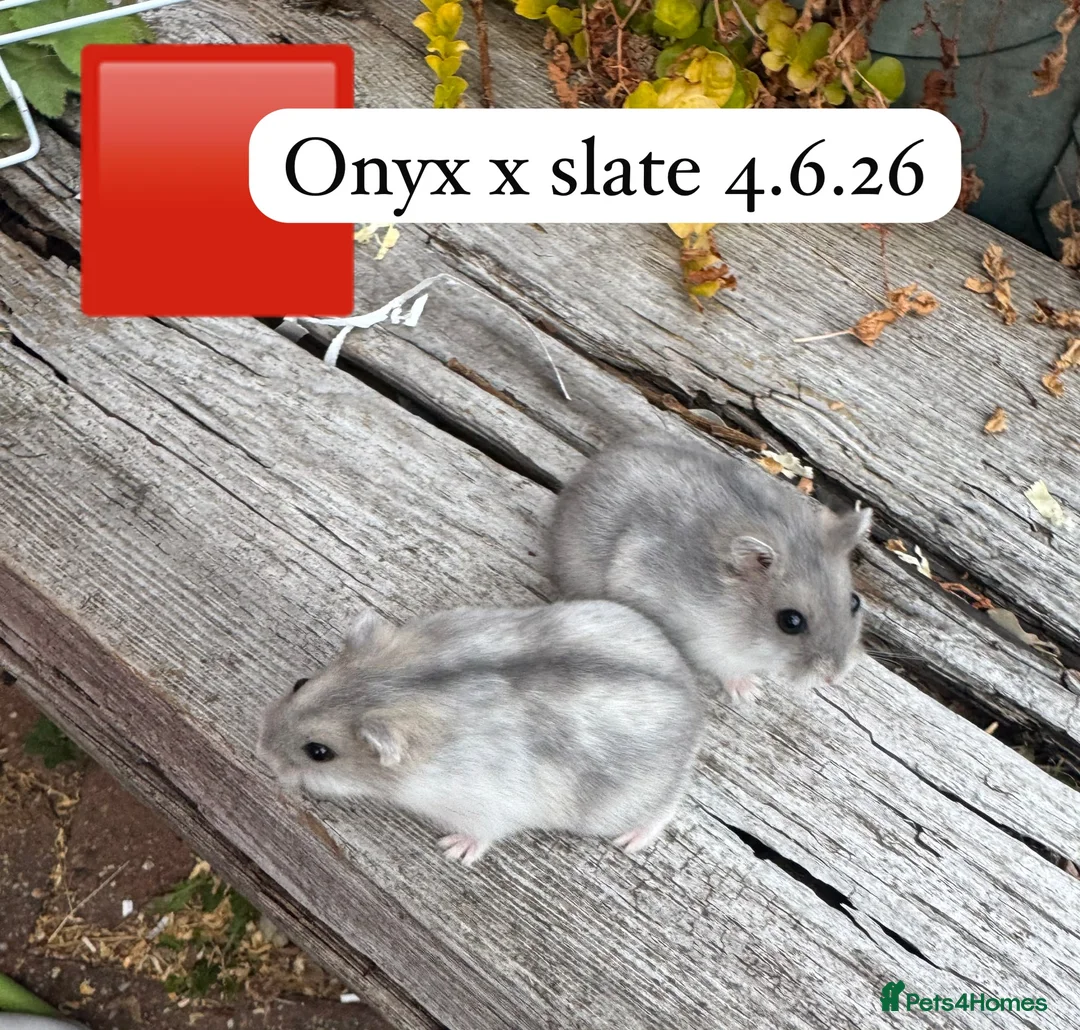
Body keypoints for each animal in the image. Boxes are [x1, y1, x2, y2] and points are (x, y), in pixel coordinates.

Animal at [258, 601, 701, 867]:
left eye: (319, 752)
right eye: (299, 682)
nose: (261, 752)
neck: (401, 686)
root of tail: (694, 704)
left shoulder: (486, 807)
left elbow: (482, 835)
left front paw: (453, 850)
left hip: (622, 804)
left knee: (665, 809)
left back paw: (631, 841)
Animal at [550, 433, 871, 699]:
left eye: (855, 601)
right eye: (790, 621)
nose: (835, 677)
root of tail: (592, 467)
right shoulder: (706, 644)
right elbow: (726, 667)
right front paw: (751, 693)